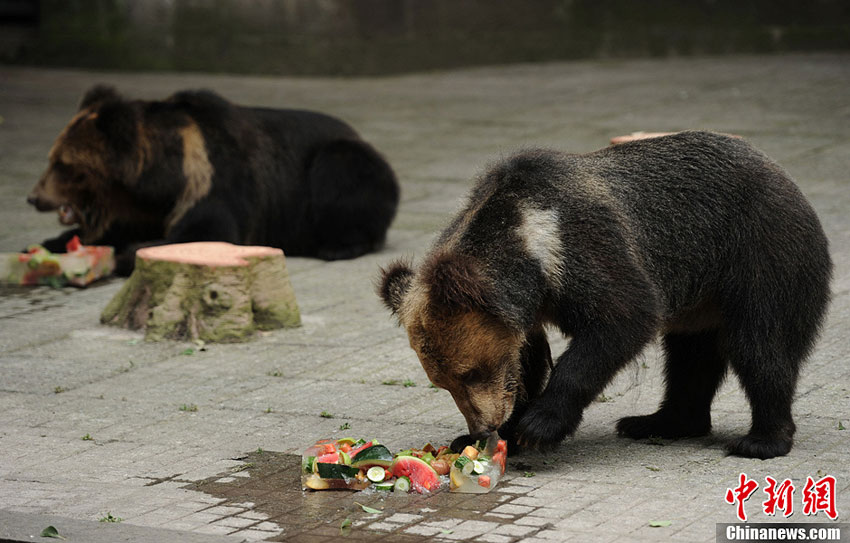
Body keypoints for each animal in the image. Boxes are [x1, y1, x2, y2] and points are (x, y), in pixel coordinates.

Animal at [26, 85, 398, 276]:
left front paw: (127, 254)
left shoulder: (213, 179)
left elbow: (206, 232)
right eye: (52, 158)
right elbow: (111, 230)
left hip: (338, 166)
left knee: (340, 173)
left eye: (62, 164)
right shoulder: (140, 209)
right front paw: (47, 245)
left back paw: (338, 246)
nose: (33, 197)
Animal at [380, 132, 832, 460]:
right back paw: (658, 421)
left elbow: (621, 319)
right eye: (443, 383)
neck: (529, 250)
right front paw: (482, 437)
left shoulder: (583, 247)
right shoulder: (528, 311)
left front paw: (537, 426)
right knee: (689, 355)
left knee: (760, 345)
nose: (483, 425)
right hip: (700, 301)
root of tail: (787, 178)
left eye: (470, 372)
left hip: (760, 254)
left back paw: (760, 440)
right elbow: (528, 361)